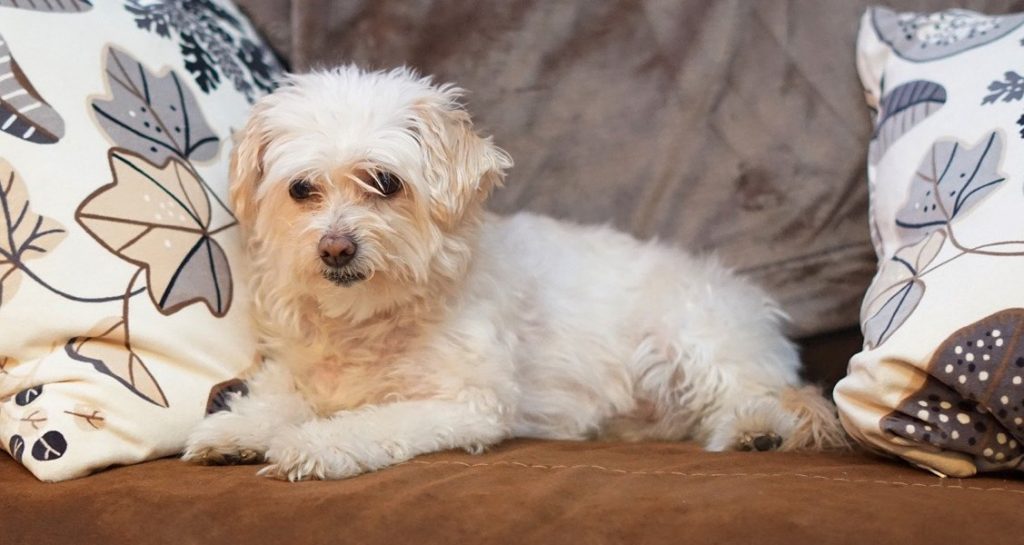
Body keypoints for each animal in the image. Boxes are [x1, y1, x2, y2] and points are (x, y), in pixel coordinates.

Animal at [184, 66, 847, 479]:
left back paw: (756, 430)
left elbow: (371, 422)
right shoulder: (296, 376)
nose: (335, 249)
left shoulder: (466, 402)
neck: (367, 320)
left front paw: (313, 446)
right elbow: (272, 401)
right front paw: (234, 434)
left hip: (696, 338)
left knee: (766, 398)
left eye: (385, 182)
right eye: (301, 189)